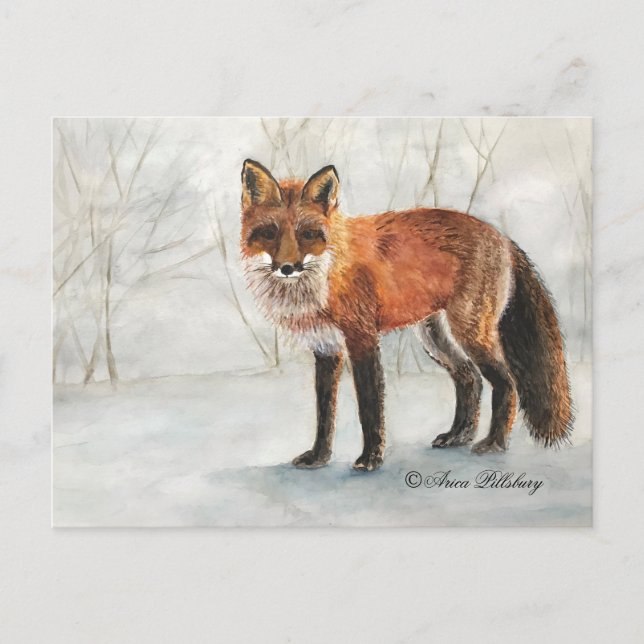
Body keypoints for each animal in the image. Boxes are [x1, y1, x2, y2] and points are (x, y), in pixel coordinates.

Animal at [240, 159, 573, 471]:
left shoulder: (362, 339)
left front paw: (370, 458)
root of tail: (502, 237)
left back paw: (494, 443)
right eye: (270, 233)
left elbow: (370, 407)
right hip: (434, 337)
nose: (287, 267)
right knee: (470, 378)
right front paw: (318, 457)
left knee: (506, 383)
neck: (327, 273)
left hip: (470, 332)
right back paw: (458, 436)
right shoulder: (326, 348)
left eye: (307, 234)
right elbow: (325, 414)